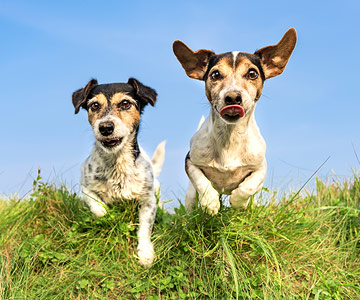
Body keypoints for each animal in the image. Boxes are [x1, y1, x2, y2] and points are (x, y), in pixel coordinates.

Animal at [71, 78, 165, 268]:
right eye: (94, 105)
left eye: (125, 103)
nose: (105, 127)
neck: (117, 164)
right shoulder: (85, 186)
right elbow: (97, 206)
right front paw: (106, 212)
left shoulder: (148, 200)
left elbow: (144, 228)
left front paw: (145, 253)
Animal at [173, 28, 296, 214]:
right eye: (215, 74)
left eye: (252, 73)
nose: (232, 97)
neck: (229, 138)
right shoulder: (190, 162)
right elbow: (202, 182)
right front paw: (210, 202)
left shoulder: (260, 168)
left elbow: (247, 188)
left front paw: (238, 202)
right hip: (190, 194)